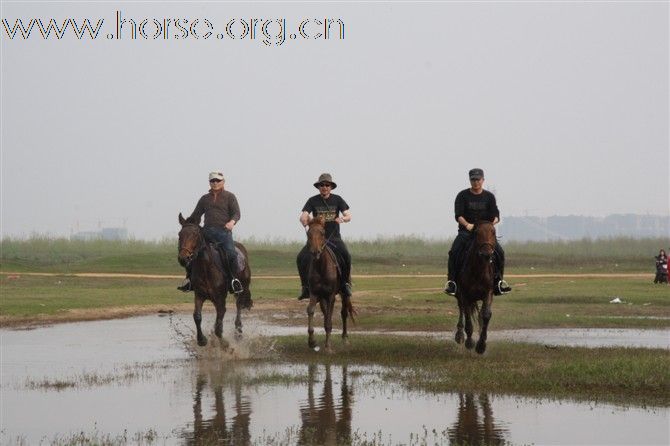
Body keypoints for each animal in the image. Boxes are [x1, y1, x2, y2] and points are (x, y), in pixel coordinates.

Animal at [178, 213, 252, 348]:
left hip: (242, 289)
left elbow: (218, 326)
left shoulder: (220, 299)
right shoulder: (199, 295)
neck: (206, 268)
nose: (183, 258)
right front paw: (202, 340)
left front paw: (225, 345)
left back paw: (238, 332)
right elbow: (197, 316)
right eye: (180, 235)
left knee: (239, 306)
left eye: (195, 235)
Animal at [306, 214, 354, 354]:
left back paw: (345, 338)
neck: (321, 267)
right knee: (326, 312)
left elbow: (328, 321)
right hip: (322, 298)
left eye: (322, 233)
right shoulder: (314, 293)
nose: (315, 252)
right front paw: (312, 341)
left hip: (344, 294)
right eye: (308, 233)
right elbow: (310, 310)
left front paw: (328, 347)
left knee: (344, 312)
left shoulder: (331, 295)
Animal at [456, 221, 498, 354]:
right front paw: (470, 343)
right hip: (459, 295)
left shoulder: (488, 292)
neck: (478, 270)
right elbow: (468, 317)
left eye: (493, 232)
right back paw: (459, 335)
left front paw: (481, 345)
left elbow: (486, 315)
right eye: (477, 233)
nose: (486, 254)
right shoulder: (464, 294)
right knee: (461, 310)